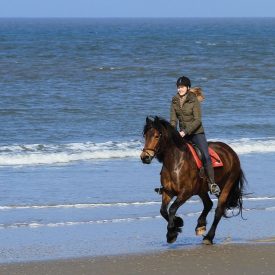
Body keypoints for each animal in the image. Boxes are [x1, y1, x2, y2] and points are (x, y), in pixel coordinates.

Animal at [141, 116, 247, 246]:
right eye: (145, 136)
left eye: (156, 136)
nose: (144, 157)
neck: (175, 162)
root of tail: (231, 152)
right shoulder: (168, 192)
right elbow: (163, 210)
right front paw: (178, 223)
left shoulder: (186, 192)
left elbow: (172, 209)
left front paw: (171, 233)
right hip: (201, 189)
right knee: (208, 204)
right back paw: (200, 225)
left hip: (227, 185)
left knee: (219, 210)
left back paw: (209, 237)